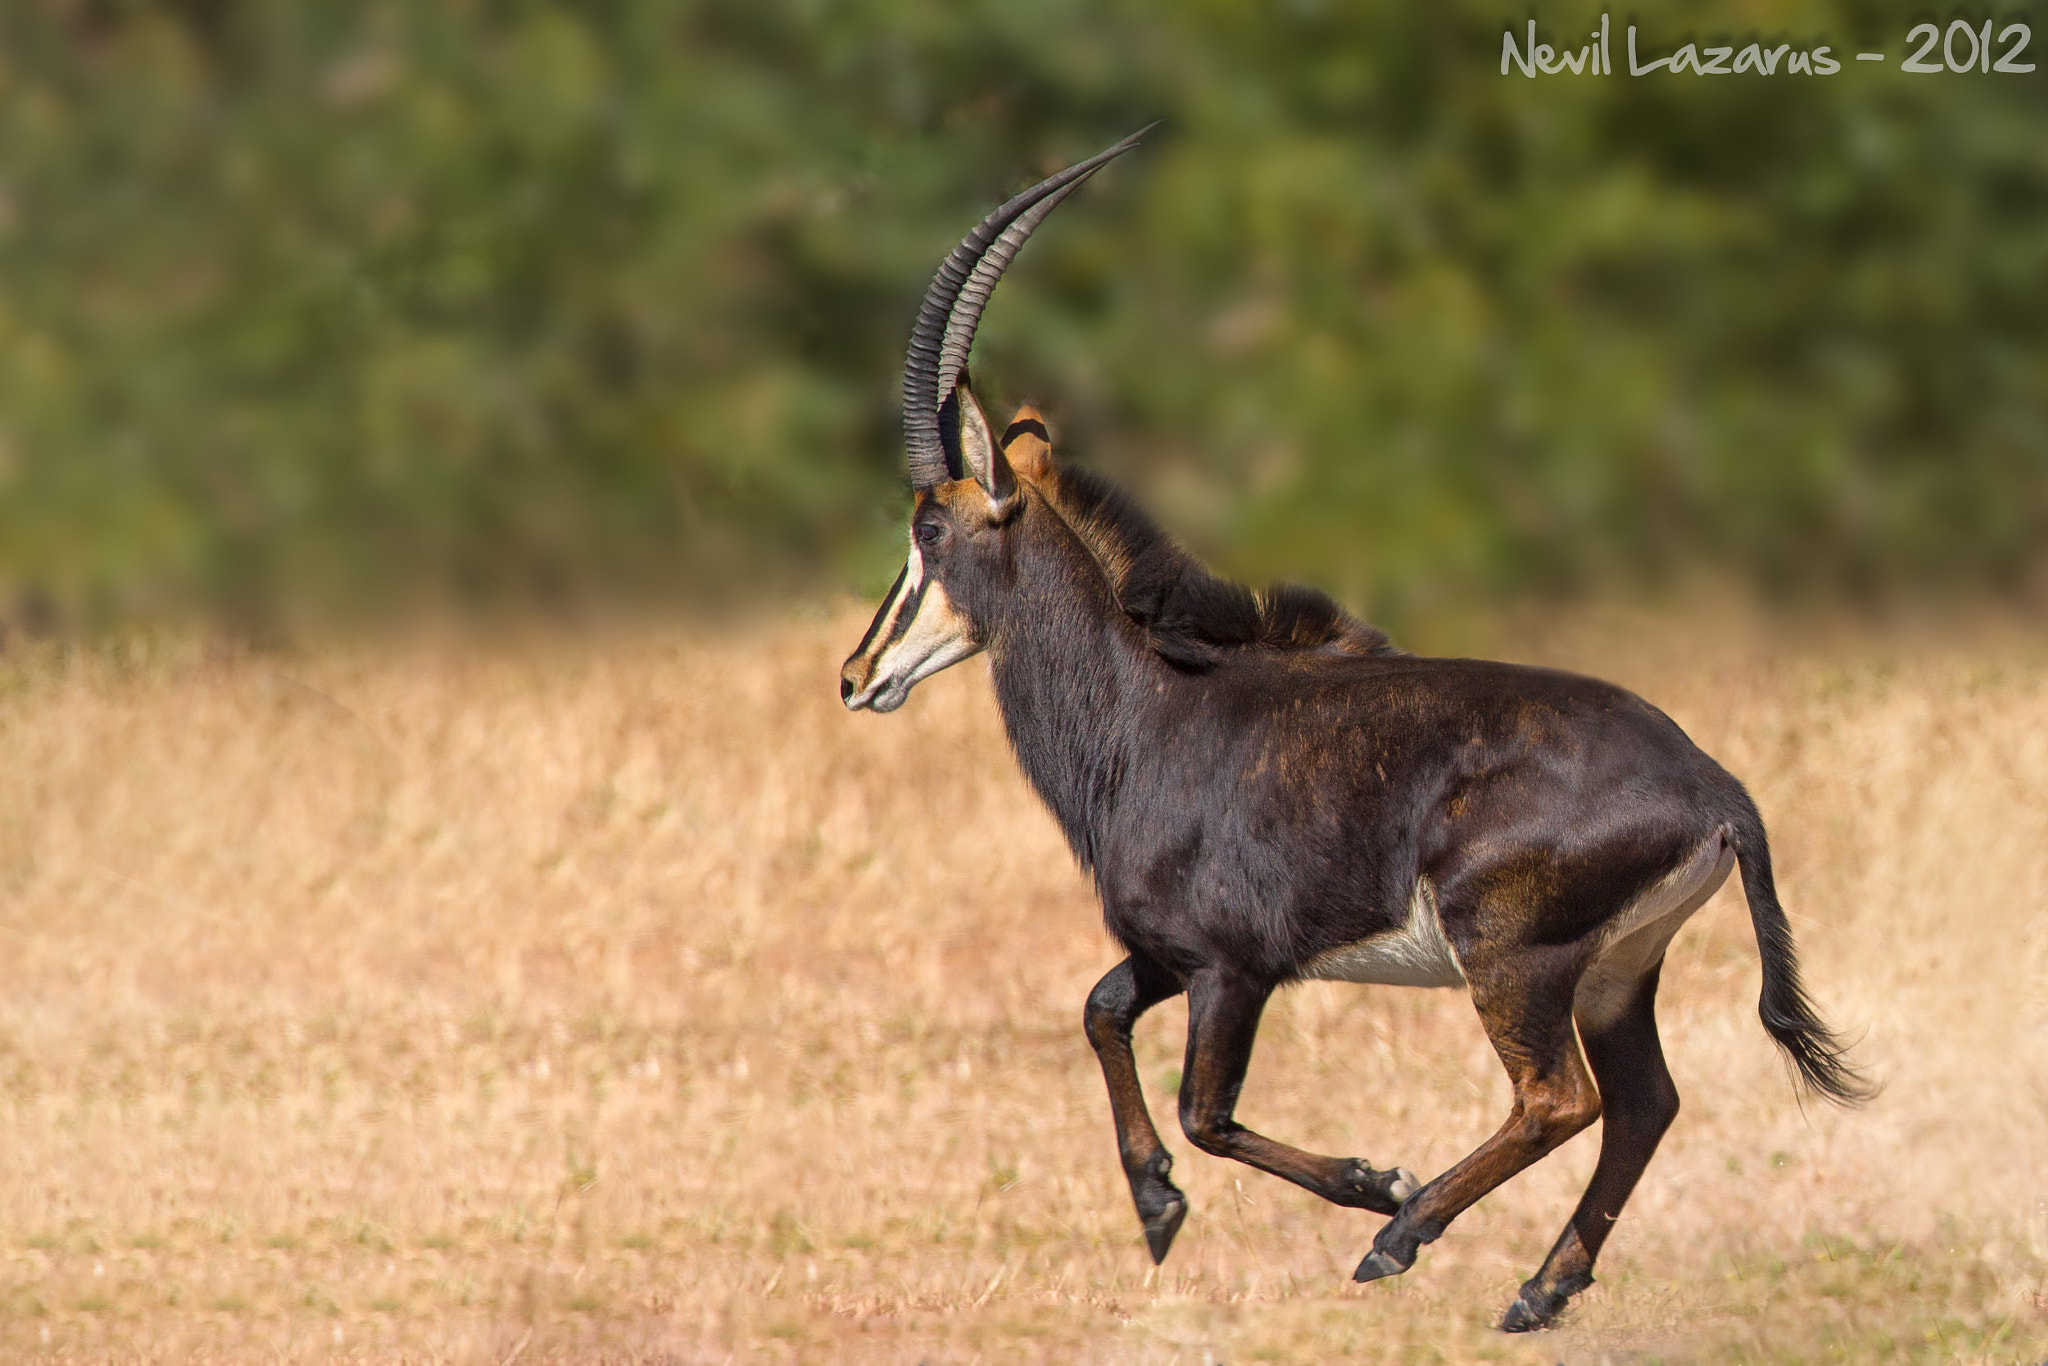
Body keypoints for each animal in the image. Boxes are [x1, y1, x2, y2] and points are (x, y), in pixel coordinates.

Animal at [835, 131, 1875, 1335]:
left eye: (929, 532)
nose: (856, 676)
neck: (1148, 712)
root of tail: (1717, 792)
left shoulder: (1232, 967)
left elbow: (1204, 1112)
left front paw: (1367, 1184)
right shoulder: (1170, 954)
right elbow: (1099, 1012)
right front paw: (1157, 1208)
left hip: (1513, 959)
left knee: (1558, 1098)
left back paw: (1404, 1233)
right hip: (1620, 970)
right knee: (1643, 1102)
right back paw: (1539, 1289)